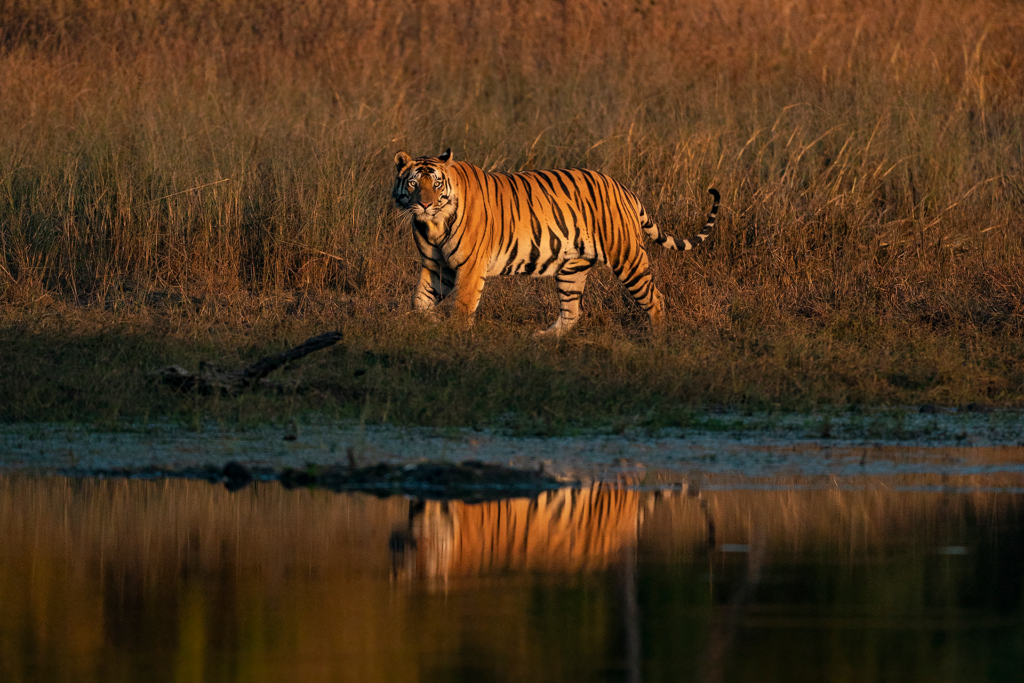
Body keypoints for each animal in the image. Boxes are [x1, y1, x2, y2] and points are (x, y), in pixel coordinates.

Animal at [391, 150, 720, 339]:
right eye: (413, 183)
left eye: (436, 184)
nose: (425, 204)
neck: (434, 225)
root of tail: (622, 187)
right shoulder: (437, 265)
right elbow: (419, 300)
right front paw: (431, 323)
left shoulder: (470, 267)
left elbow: (462, 306)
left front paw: (455, 336)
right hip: (572, 268)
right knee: (573, 311)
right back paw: (544, 338)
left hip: (627, 257)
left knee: (655, 298)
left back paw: (657, 341)